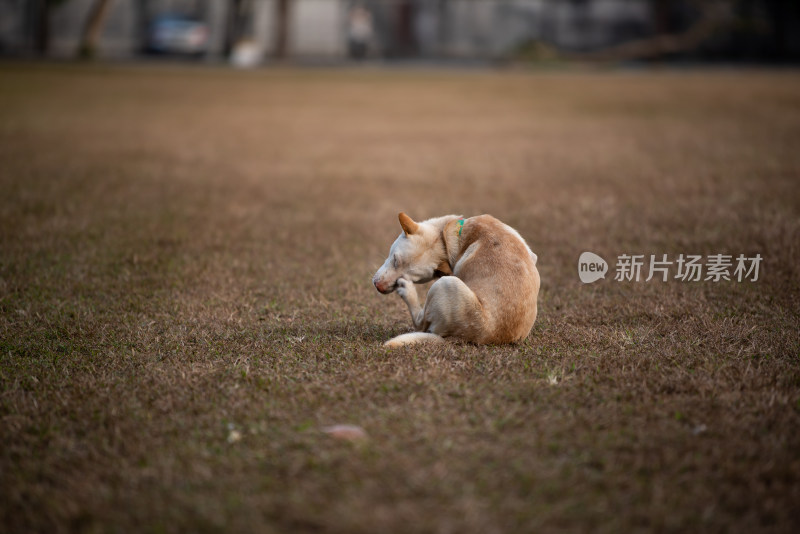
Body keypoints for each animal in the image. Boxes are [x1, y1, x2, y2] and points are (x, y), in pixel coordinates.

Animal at [374, 213, 536, 348]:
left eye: (411, 278)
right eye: (395, 260)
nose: (379, 287)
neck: (444, 241)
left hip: (445, 284)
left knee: (420, 324)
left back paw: (407, 292)